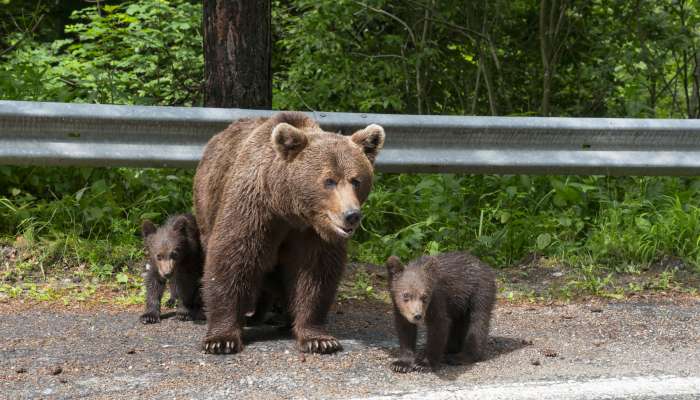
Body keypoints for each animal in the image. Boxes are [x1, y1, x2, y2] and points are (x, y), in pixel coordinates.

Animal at [194, 110, 386, 354]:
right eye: (329, 181)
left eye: (356, 180)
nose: (351, 215)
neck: (289, 209)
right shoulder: (254, 210)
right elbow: (232, 258)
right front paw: (221, 339)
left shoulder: (313, 233)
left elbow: (315, 274)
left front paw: (319, 339)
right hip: (206, 204)